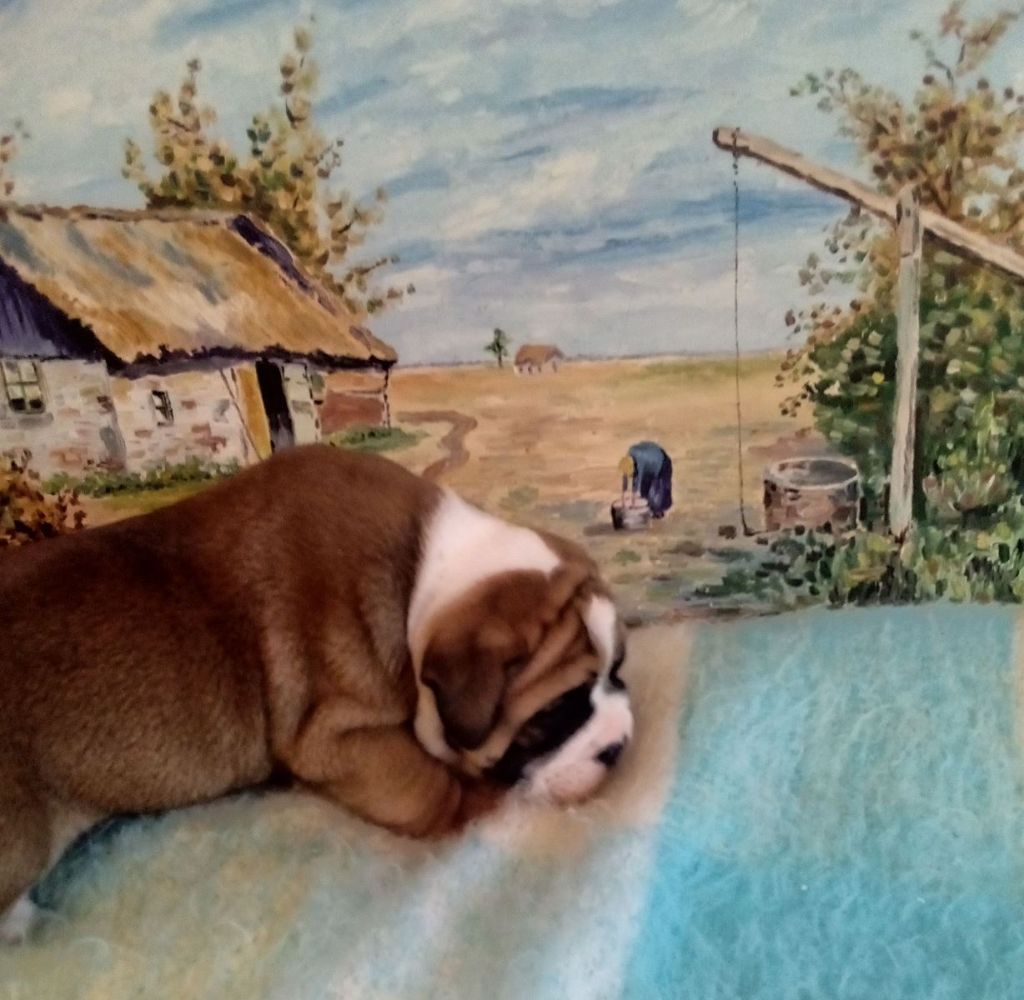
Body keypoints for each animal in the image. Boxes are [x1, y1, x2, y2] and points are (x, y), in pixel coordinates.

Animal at [0, 444, 632, 942]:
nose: (619, 745)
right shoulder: (338, 737)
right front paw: (484, 801)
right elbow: (432, 788)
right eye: (555, 713)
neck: (419, 578)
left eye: (619, 670)